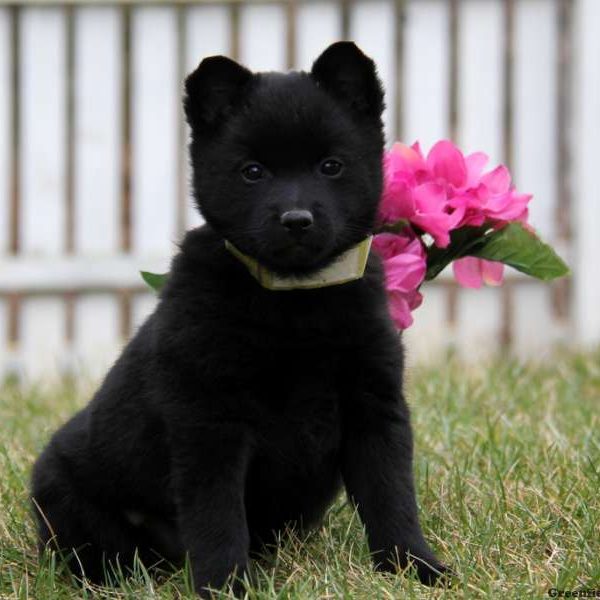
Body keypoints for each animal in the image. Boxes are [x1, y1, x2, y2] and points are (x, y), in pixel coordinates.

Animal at [30, 41, 448, 596]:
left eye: (331, 166)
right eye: (253, 172)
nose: (297, 220)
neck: (294, 301)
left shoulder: (373, 403)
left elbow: (391, 497)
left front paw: (413, 567)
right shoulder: (209, 423)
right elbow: (217, 517)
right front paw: (227, 586)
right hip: (62, 489)